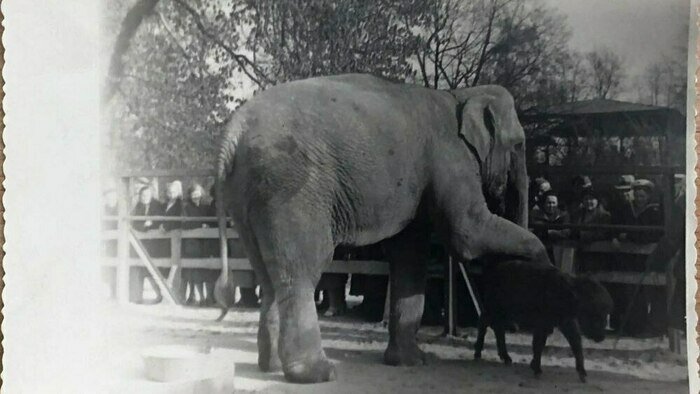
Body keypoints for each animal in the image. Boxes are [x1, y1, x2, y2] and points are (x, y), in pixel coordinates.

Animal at [213, 73, 552, 382]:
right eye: (518, 144)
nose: (510, 354)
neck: (462, 94)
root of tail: (234, 129)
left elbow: (410, 254)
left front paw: (411, 362)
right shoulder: (450, 158)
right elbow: (467, 233)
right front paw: (544, 263)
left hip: (248, 194)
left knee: (268, 274)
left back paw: (269, 366)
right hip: (290, 187)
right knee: (303, 269)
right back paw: (317, 373)